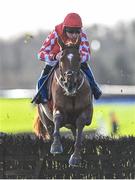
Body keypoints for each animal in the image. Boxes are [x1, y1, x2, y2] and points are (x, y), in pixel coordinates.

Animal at [33, 37, 93, 167]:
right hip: (45, 118)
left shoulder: (85, 111)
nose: (70, 83)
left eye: (79, 58)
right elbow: (58, 118)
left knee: (75, 132)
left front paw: (76, 157)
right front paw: (56, 146)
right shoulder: (58, 108)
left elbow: (80, 127)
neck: (72, 94)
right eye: (61, 58)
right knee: (51, 130)